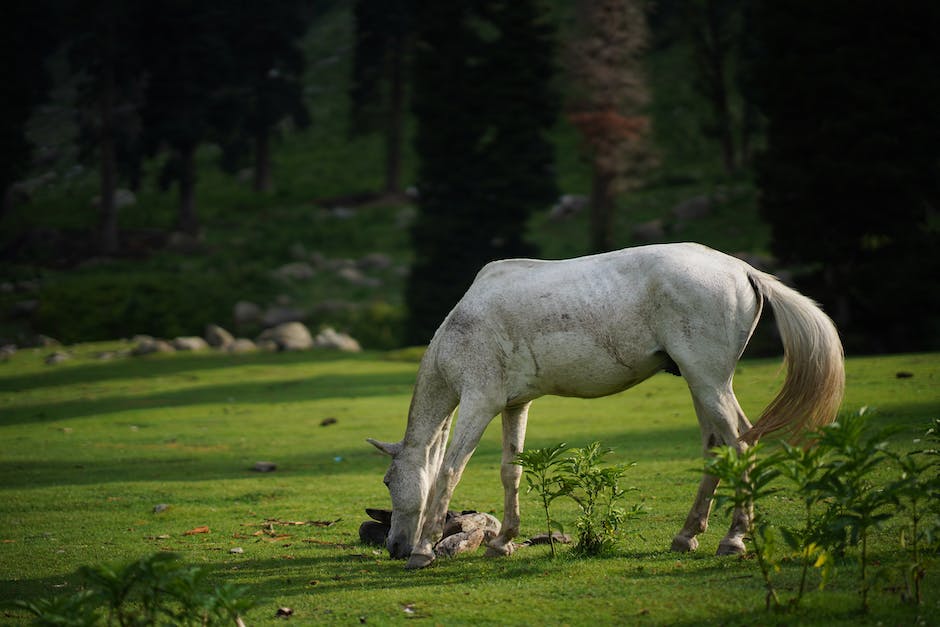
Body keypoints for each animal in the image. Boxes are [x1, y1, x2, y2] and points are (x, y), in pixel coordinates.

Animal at [368, 242, 844, 568]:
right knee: (718, 449)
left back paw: (733, 540)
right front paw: (503, 543)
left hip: (710, 383)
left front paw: (425, 550)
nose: (394, 547)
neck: (462, 329)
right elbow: (511, 471)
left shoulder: (479, 404)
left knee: (741, 445)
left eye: (389, 481)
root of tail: (741, 269)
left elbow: (449, 470)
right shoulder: (514, 405)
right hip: (701, 384)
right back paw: (687, 536)